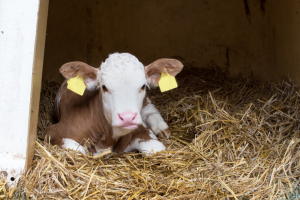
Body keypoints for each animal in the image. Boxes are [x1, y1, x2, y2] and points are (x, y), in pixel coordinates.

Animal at [44, 52, 183, 155]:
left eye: (143, 86)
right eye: (104, 87)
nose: (127, 117)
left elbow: (156, 148)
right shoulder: (52, 131)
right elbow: (77, 149)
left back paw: (161, 128)